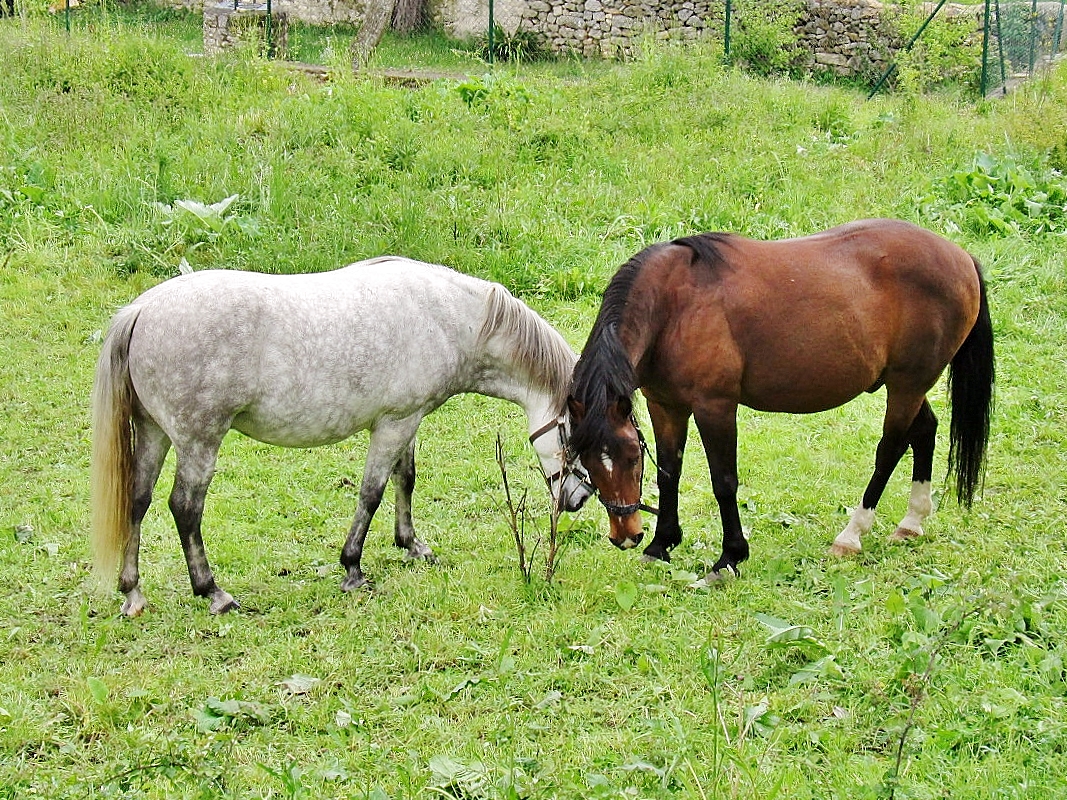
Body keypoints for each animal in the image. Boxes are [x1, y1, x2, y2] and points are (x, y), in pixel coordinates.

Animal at [90, 260, 593, 618]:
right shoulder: (393, 424)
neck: (449, 318)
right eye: (578, 437)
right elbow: (371, 493)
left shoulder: (406, 421)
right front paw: (352, 567)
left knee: (138, 500)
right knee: (184, 508)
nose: (579, 499)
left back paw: (132, 592)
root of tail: (141, 310)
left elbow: (405, 480)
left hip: (155, 434)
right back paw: (213, 592)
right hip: (199, 442)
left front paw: (411, 545)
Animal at [571, 219, 994, 576]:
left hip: (907, 386)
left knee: (889, 450)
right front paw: (661, 545)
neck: (674, 305)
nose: (625, 534)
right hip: (905, 385)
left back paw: (851, 535)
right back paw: (911, 522)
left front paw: (729, 558)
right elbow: (668, 473)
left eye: (631, 457)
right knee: (924, 431)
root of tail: (962, 258)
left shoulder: (715, 407)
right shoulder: (665, 405)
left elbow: (724, 481)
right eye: (586, 460)